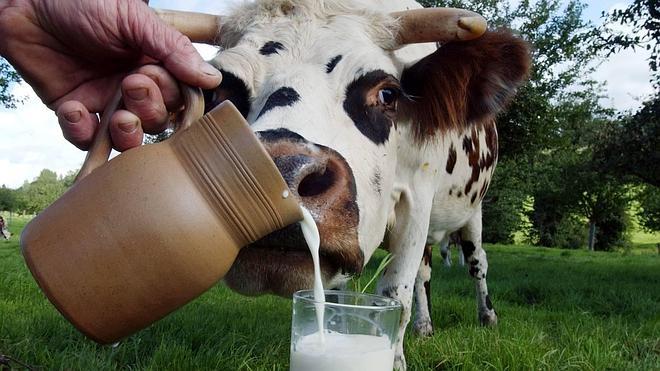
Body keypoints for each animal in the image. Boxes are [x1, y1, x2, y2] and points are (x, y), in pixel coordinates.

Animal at [196, 0, 532, 370]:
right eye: (216, 92)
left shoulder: (417, 203)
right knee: (425, 273)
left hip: (473, 211)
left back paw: (487, 316)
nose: (279, 174)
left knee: (477, 263)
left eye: (388, 93)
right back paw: (425, 326)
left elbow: (395, 296)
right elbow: (342, 301)